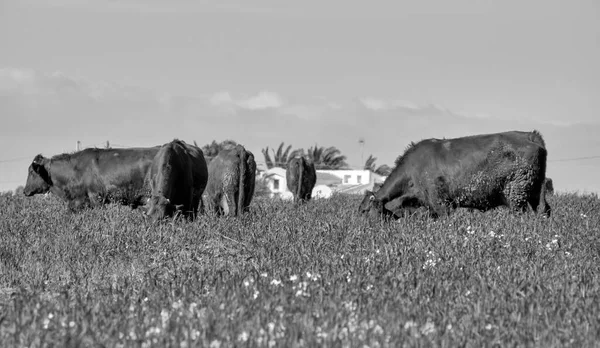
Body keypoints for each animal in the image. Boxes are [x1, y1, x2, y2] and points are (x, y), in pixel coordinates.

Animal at [358, 131, 552, 220]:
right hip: (536, 189)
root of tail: (529, 135)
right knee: (544, 209)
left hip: (516, 194)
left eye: (364, 211)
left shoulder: (441, 202)